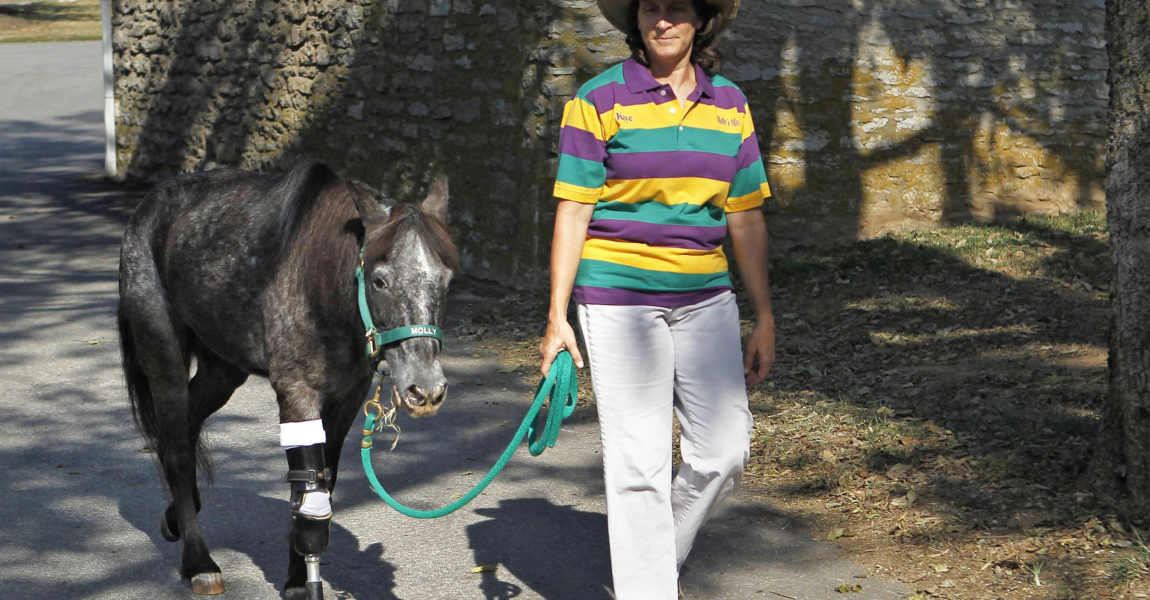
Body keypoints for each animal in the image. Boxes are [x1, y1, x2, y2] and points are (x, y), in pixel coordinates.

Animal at [116, 160, 457, 593]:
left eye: (446, 280)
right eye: (380, 280)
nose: (425, 389)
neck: (321, 286)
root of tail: (147, 209)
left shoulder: (347, 396)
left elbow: (321, 483)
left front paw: (298, 575)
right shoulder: (297, 393)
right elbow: (307, 487)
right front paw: (300, 581)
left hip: (222, 369)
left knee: (186, 425)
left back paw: (177, 515)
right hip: (165, 358)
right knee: (176, 446)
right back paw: (198, 563)